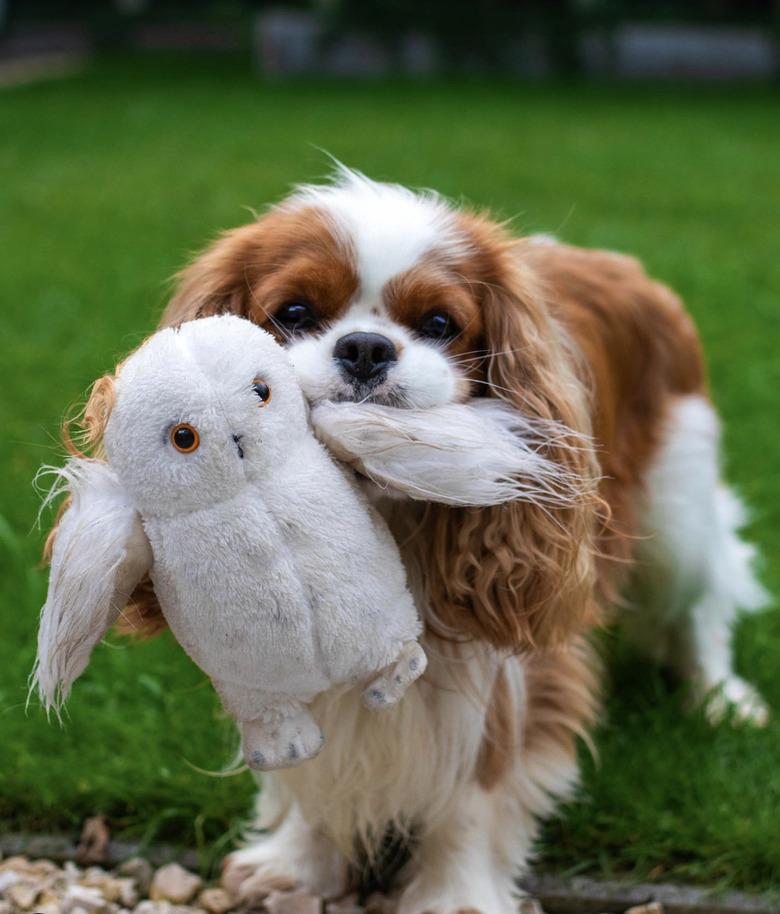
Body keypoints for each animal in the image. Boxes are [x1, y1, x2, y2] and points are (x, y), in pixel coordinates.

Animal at [117, 167, 768, 908]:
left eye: (438, 324)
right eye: (293, 313)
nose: (365, 347)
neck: (375, 510)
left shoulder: (507, 659)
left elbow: (477, 786)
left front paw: (456, 892)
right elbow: (317, 761)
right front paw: (300, 862)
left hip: (677, 515)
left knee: (702, 607)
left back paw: (721, 700)